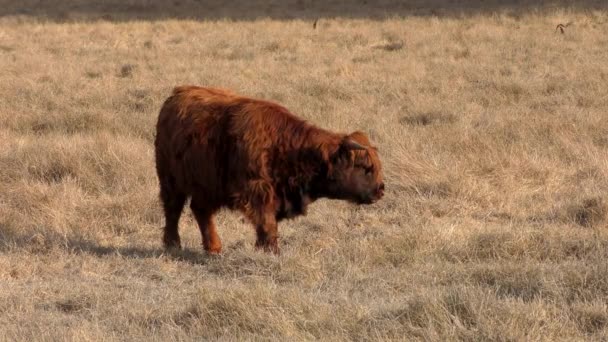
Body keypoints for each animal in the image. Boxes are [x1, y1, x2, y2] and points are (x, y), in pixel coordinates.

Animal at [154, 87, 382, 255]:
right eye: (365, 167)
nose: (381, 190)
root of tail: (176, 95)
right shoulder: (258, 192)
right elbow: (266, 223)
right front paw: (272, 251)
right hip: (171, 182)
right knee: (173, 211)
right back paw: (173, 245)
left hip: (206, 187)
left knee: (201, 211)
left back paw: (214, 249)